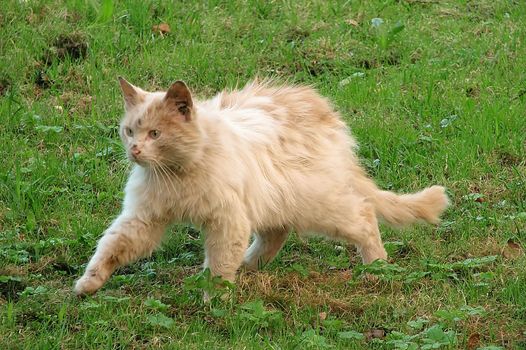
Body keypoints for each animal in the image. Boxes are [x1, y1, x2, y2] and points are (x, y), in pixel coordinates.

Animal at [74, 78, 452, 296]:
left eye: (155, 134)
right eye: (129, 131)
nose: (135, 150)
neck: (176, 176)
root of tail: (329, 118)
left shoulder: (227, 222)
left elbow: (220, 266)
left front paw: (215, 301)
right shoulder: (143, 219)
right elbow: (110, 248)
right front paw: (88, 284)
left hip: (321, 206)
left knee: (365, 216)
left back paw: (377, 267)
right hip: (276, 202)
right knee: (275, 234)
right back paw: (249, 266)